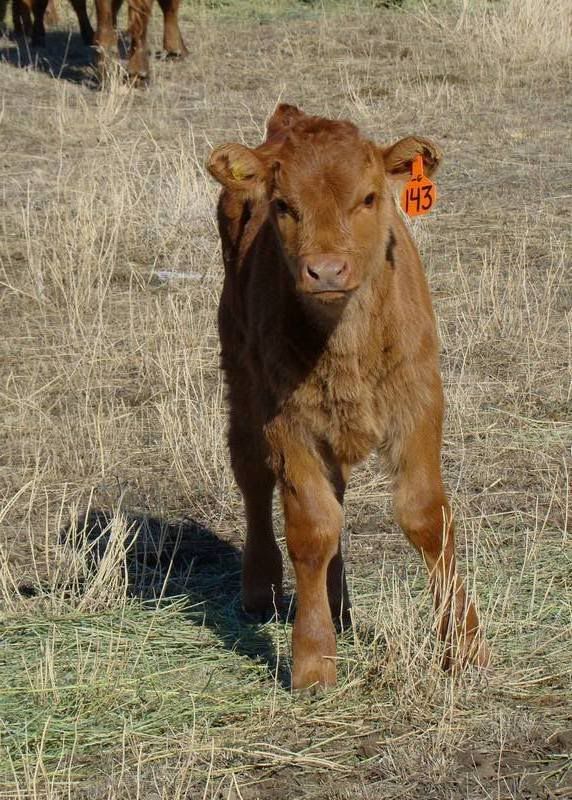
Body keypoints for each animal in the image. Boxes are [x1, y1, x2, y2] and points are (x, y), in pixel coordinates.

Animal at [207, 104, 489, 690]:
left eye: (369, 197)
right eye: (284, 205)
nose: (326, 270)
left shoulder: (419, 401)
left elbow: (426, 517)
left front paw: (464, 646)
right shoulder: (286, 420)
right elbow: (312, 527)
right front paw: (314, 660)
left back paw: (339, 607)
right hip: (240, 375)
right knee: (251, 472)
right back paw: (262, 589)